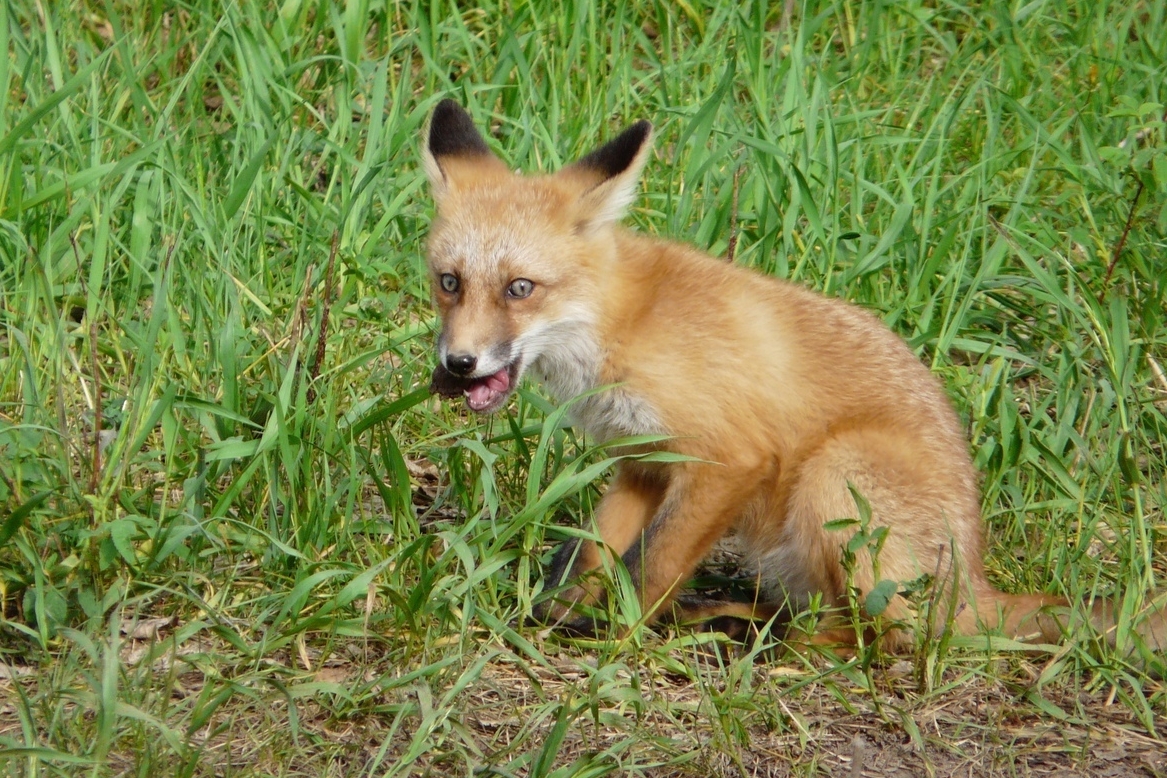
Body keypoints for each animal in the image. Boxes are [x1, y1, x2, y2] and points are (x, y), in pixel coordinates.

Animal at [420, 97, 1167, 657]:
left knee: (886, 640)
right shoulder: (644, 461)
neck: (619, 324)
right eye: (450, 282)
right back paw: (726, 619)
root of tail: (972, 586)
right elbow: (593, 555)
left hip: (835, 474)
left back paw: (768, 644)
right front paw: (558, 615)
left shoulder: (729, 457)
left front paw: (614, 642)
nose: (457, 364)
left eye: (520, 288)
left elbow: (651, 567)